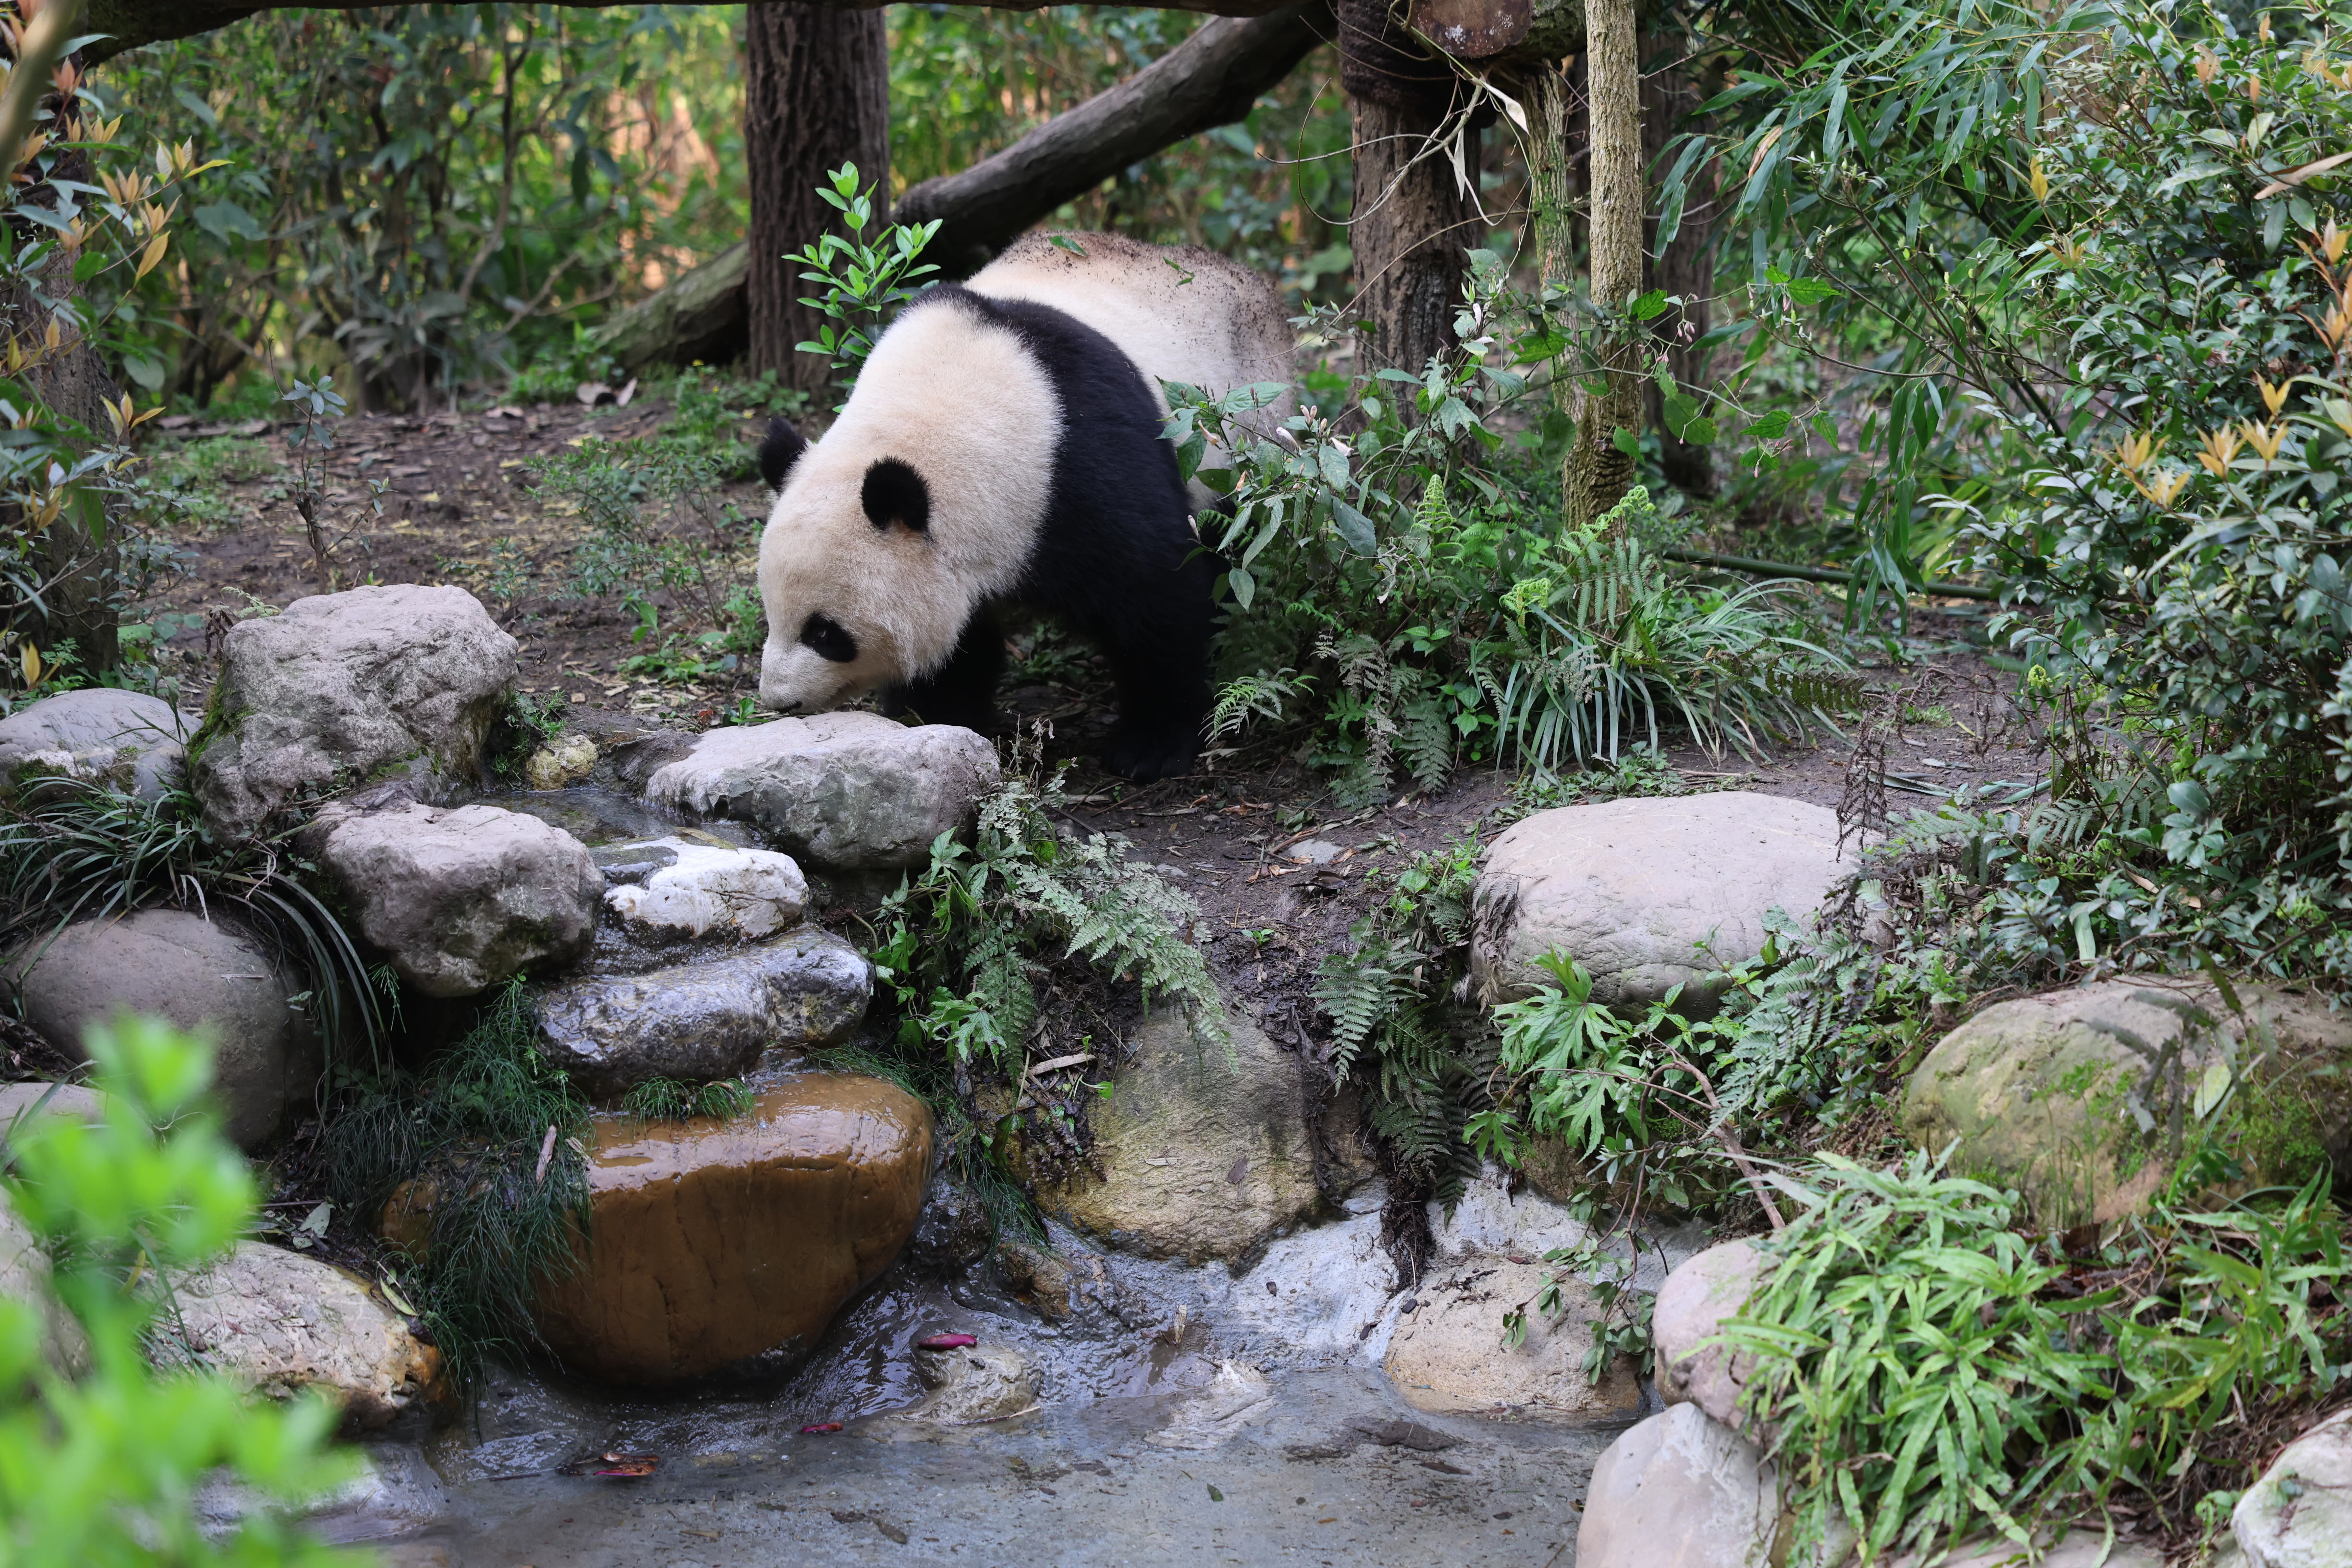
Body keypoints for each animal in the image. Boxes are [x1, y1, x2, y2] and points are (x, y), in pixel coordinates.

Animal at [753, 230, 1292, 784]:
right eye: (771, 613)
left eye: (824, 631)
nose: (781, 701)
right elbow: (959, 646)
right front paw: (938, 718)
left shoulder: (1081, 467)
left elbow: (1159, 597)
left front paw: (1152, 747)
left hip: (1243, 436)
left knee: (1234, 541)